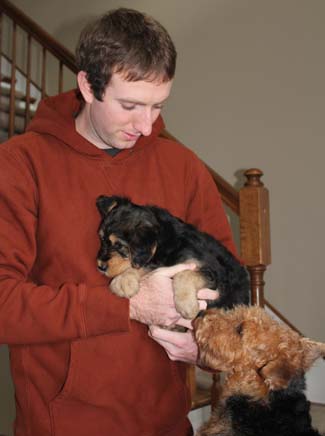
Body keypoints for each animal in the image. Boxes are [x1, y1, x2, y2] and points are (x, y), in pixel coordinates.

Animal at [95, 196, 248, 318]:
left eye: (119, 245)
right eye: (102, 239)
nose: (100, 267)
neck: (166, 242)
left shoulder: (212, 272)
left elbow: (185, 274)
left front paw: (187, 306)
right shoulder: (156, 262)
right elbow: (145, 266)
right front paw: (124, 281)